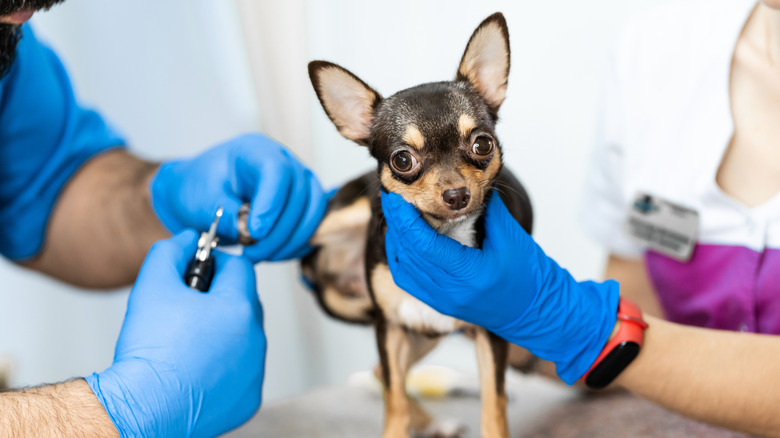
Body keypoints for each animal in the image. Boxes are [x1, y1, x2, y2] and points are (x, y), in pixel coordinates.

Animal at [302, 13, 532, 438]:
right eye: (402, 160)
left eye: (483, 144)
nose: (457, 195)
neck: (444, 241)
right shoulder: (390, 328)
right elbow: (394, 405)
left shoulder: (489, 334)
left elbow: (494, 404)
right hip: (350, 221)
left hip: (427, 333)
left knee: (380, 372)